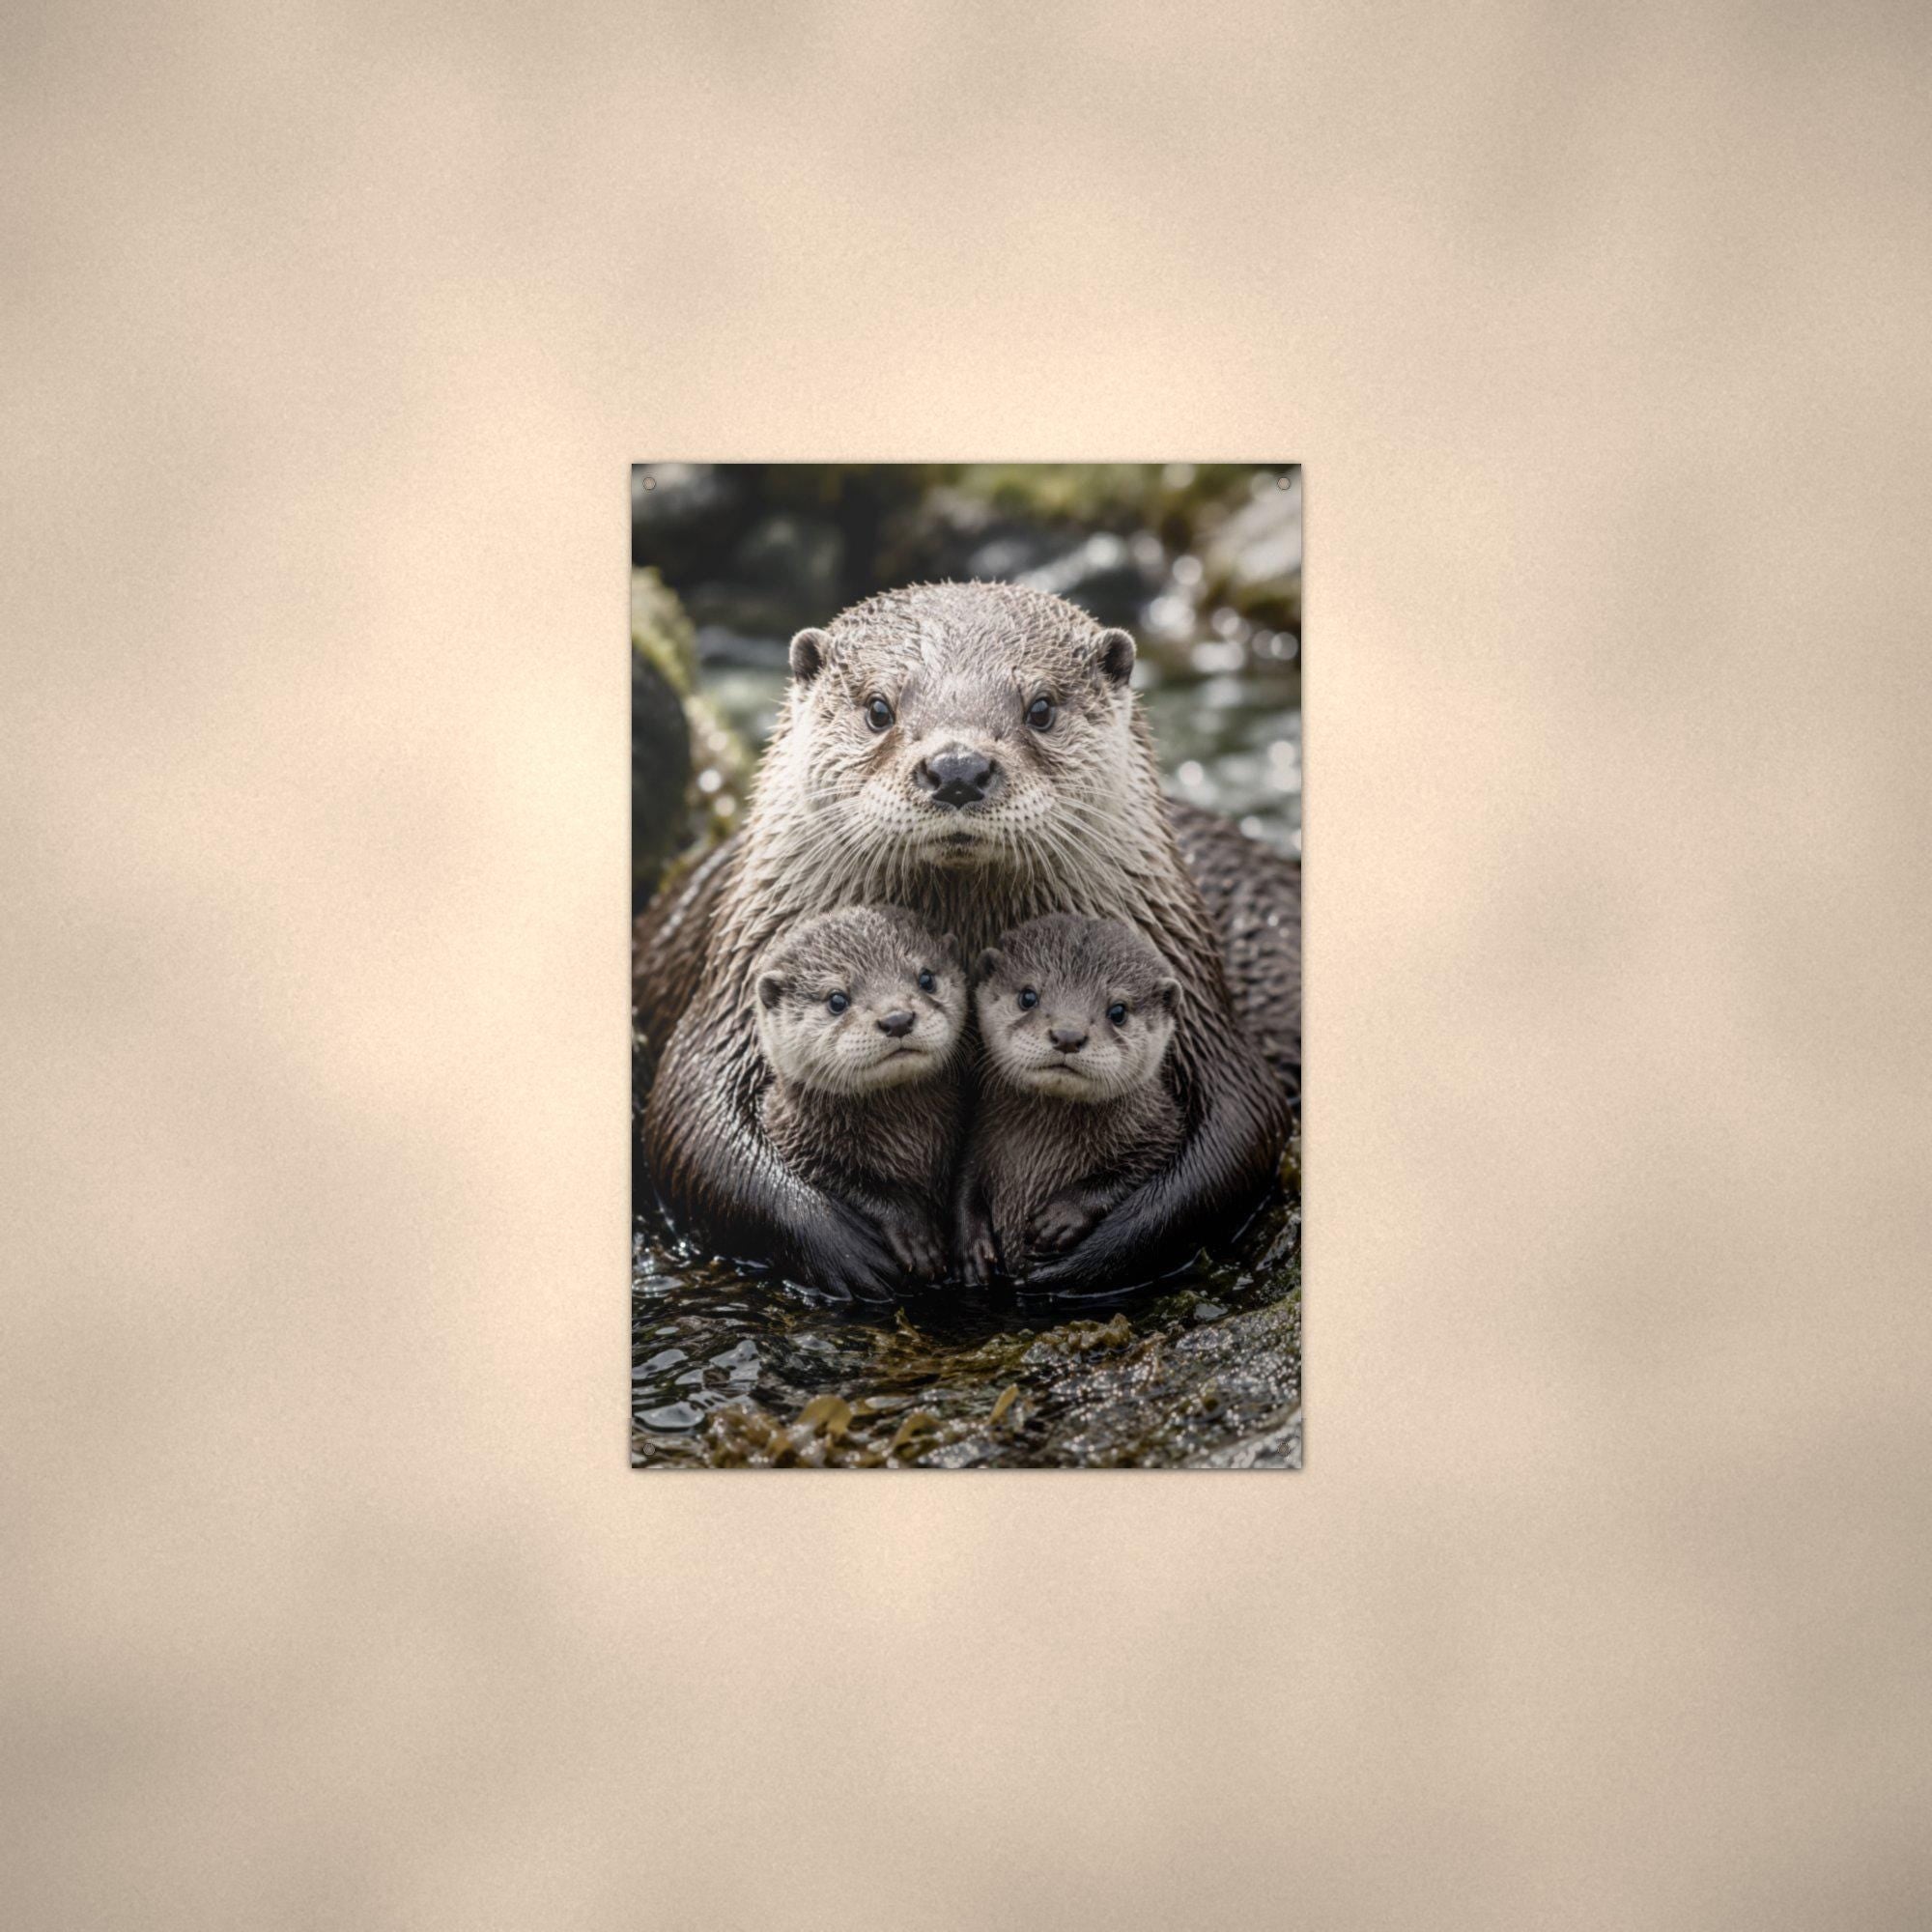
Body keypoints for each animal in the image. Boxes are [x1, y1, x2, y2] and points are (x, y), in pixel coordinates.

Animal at [753, 906, 965, 1279]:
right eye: (837, 999)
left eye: (926, 979)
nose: (897, 1019)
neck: (908, 1140)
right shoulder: (796, 1142)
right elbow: (852, 1184)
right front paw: (914, 1233)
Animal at [955, 916, 1186, 1284]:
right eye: (1028, 996)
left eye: (1118, 1011)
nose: (1067, 1035)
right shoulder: (977, 1133)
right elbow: (964, 1183)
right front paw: (973, 1245)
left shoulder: (1164, 1127)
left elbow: (1134, 1169)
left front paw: (1062, 1215)